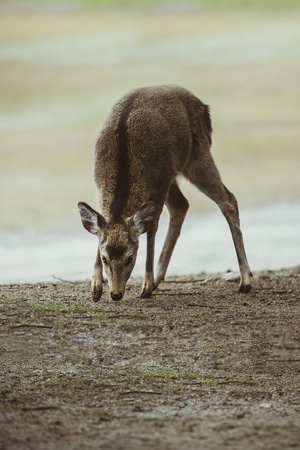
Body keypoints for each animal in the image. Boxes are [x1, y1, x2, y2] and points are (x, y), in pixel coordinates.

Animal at [77, 84, 251, 302]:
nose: (116, 294)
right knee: (182, 205)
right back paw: (159, 278)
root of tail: (204, 107)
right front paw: (95, 287)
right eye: (104, 258)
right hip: (175, 172)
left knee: (228, 200)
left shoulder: (160, 184)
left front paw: (146, 285)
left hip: (197, 156)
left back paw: (245, 281)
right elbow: (100, 228)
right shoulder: (99, 188)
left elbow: (152, 229)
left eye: (130, 257)